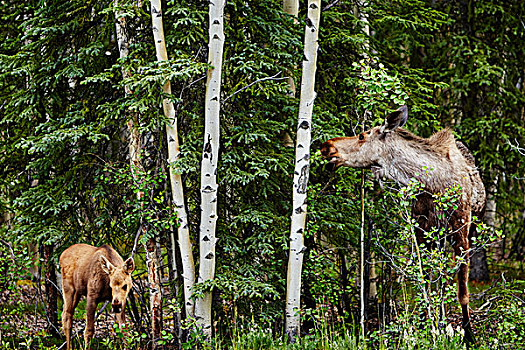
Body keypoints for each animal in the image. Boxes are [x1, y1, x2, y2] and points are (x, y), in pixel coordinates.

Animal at [322, 105, 486, 344]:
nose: (326, 146)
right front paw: (427, 326)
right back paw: (441, 320)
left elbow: (462, 292)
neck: (430, 183)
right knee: (439, 276)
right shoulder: (421, 228)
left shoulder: (461, 228)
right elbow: (425, 281)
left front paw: (469, 334)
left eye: (362, 136)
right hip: (437, 237)